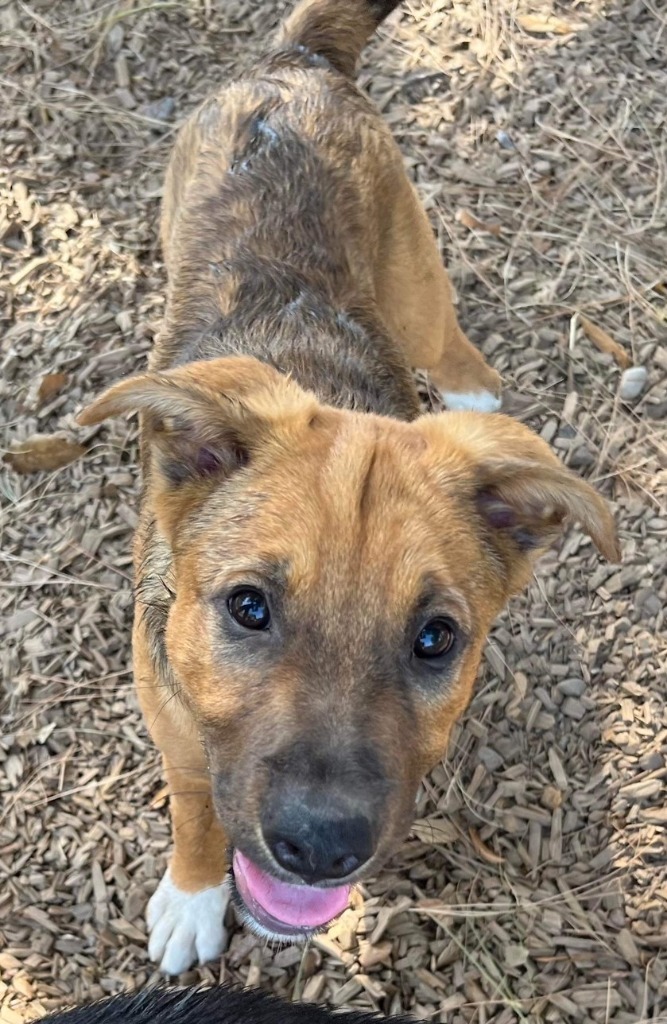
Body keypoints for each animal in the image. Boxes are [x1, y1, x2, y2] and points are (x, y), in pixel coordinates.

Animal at [78, 0, 622, 974]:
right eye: (248, 607)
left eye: (436, 639)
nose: (320, 847)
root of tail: (296, 62)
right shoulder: (175, 731)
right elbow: (194, 808)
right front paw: (192, 893)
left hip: (413, 274)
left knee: (452, 345)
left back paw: (474, 402)